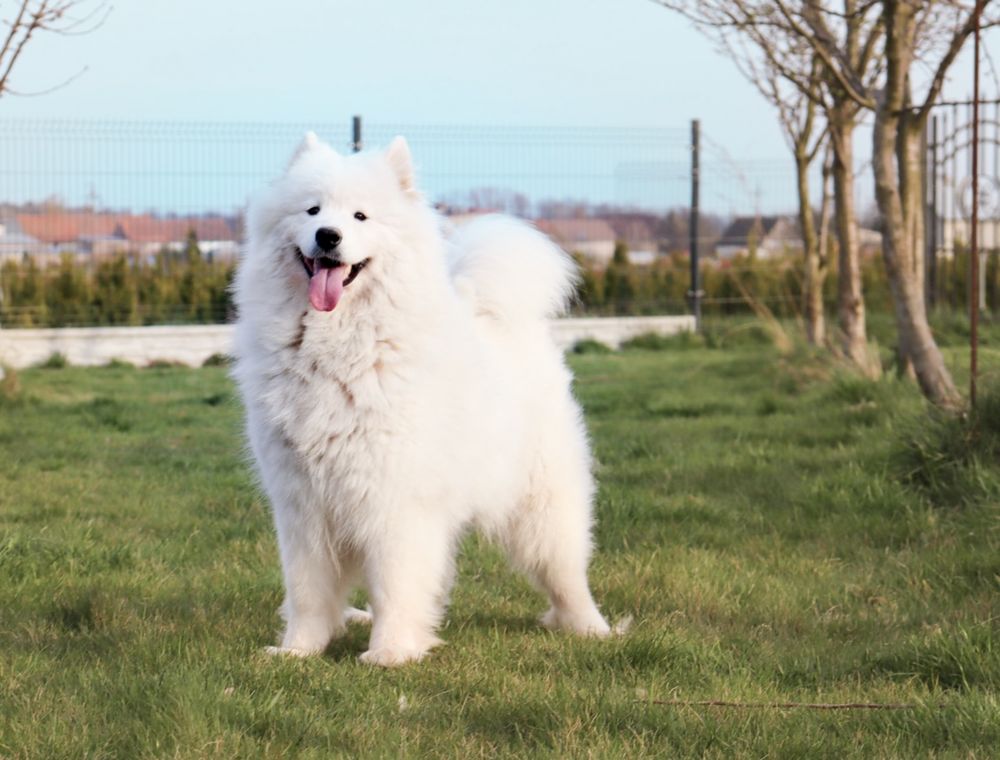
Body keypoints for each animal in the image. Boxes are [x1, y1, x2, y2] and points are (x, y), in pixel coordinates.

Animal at [232, 132, 608, 664]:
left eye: (360, 217)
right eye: (312, 210)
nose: (327, 236)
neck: (338, 350)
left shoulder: (394, 501)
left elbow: (396, 584)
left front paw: (390, 653)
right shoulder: (302, 505)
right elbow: (307, 590)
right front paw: (299, 651)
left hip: (541, 505)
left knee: (565, 573)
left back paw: (591, 628)